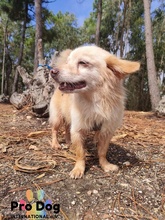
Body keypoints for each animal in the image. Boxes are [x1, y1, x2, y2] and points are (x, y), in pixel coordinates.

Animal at [48, 45, 139, 178]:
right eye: (67, 62)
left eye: (83, 63)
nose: (52, 71)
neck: (95, 102)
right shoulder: (78, 129)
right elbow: (80, 153)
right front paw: (78, 169)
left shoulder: (106, 131)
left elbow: (102, 151)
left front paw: (105, 165)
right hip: (57, 118)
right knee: (54, 130)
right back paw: (55, 144)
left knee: (67, 129)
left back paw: (69, 142)